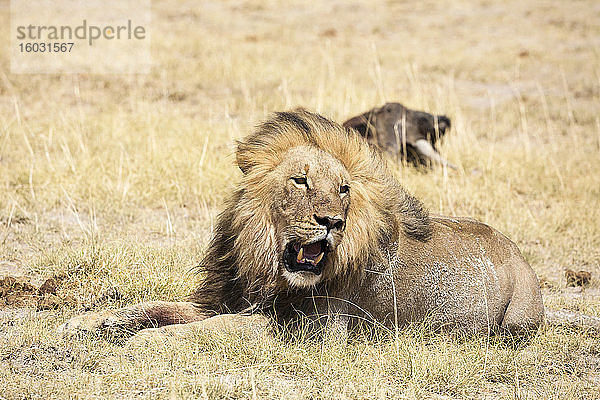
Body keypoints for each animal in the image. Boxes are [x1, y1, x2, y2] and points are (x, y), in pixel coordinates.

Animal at [58, 108, 548, 340]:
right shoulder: (228, 299)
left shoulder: (305, 329)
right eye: (300, 180)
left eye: (344, 189)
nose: (331, 221)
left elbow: (205, 330)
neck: (265, 265)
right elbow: (152, 308)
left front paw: (145, 343)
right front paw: (84, 324)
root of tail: (521, 255)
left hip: (515, 322)